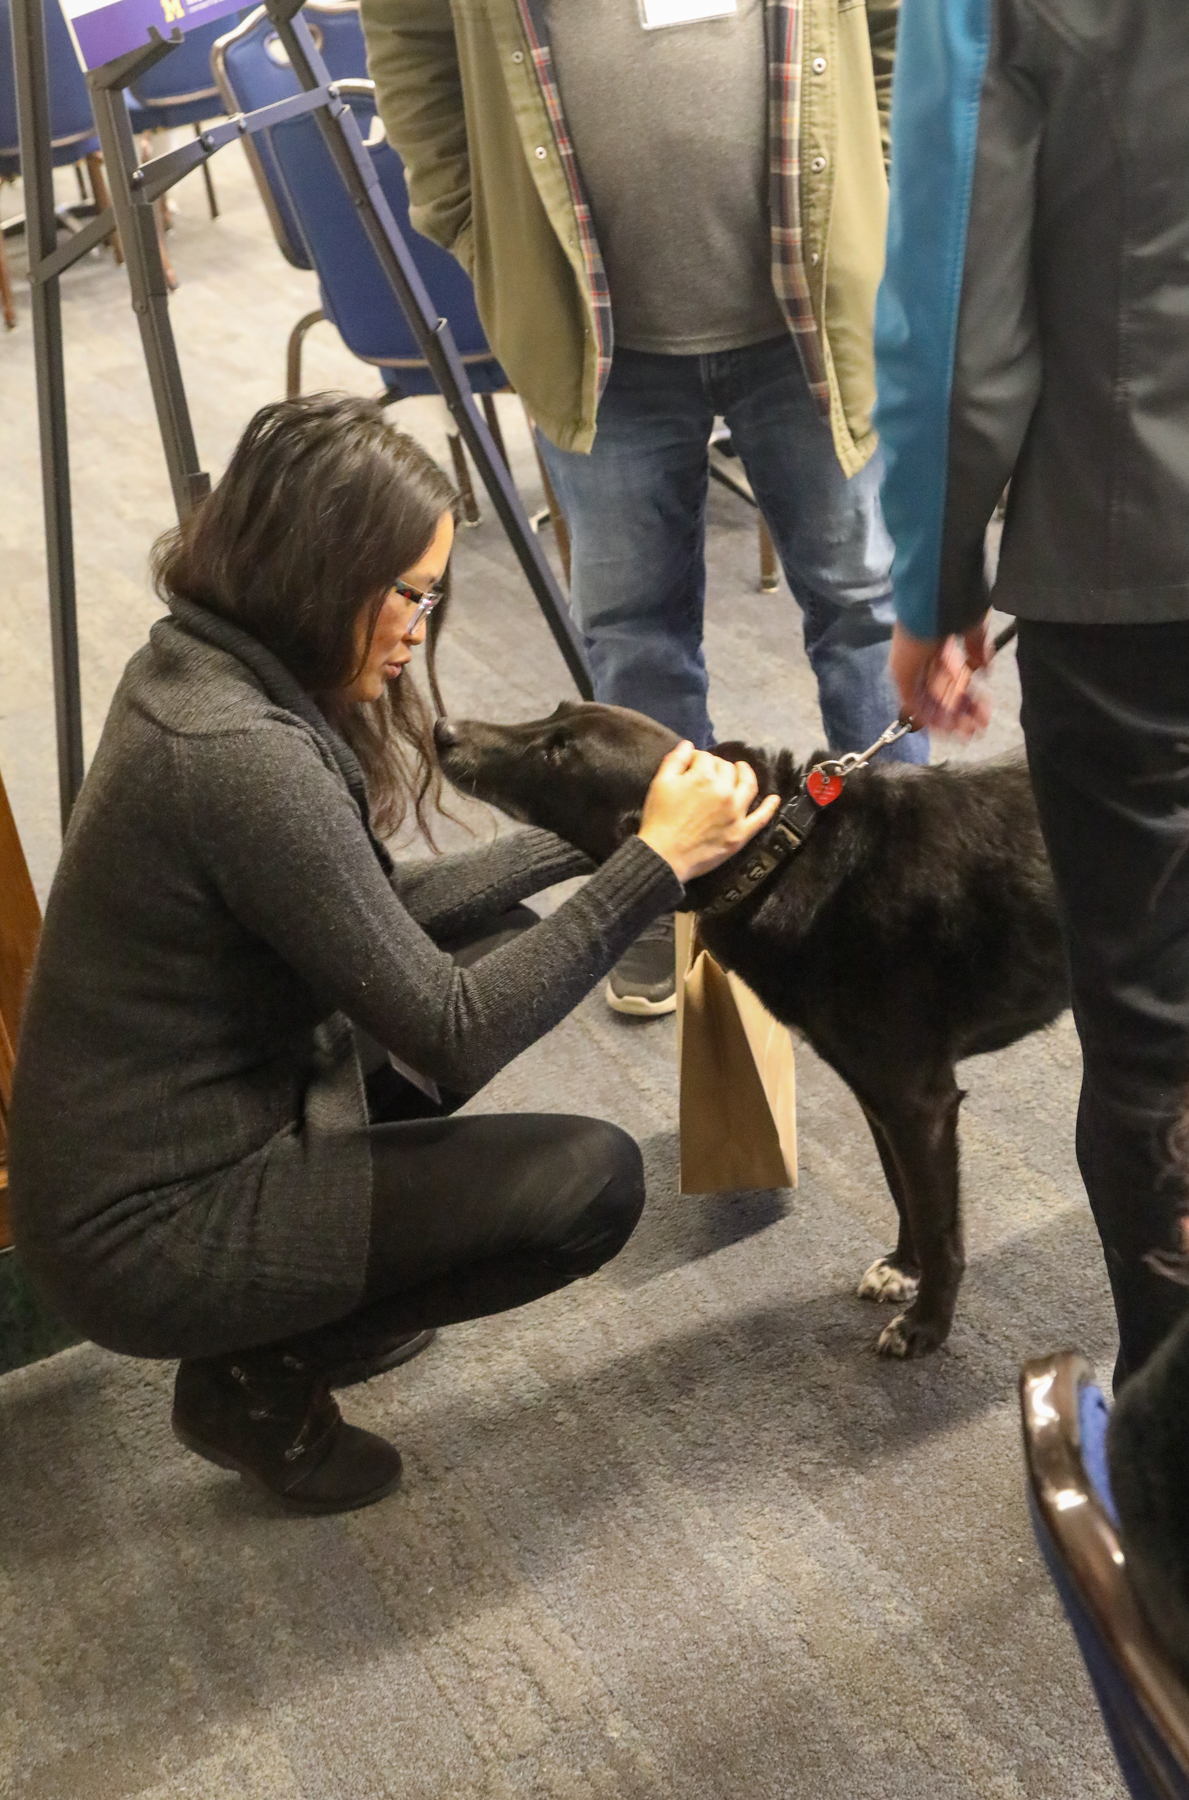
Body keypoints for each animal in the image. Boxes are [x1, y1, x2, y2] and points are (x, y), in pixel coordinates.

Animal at [435, 702, 1064, 1360]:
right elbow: (903, 1194)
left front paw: (926, 1328)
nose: (441, 731)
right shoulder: (879, 1096)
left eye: (559, 752)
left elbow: (939, 1225)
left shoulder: (920, 1103)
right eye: (556, 712)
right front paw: (902, 1268)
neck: (780, 852)